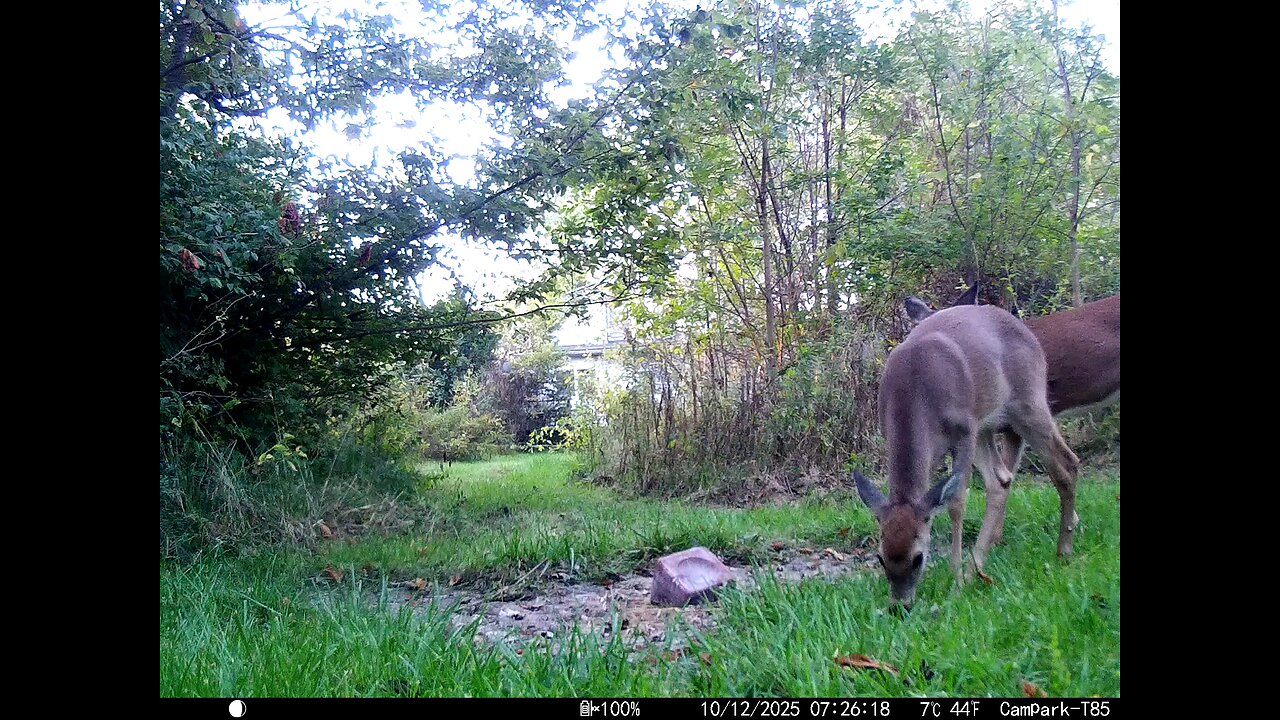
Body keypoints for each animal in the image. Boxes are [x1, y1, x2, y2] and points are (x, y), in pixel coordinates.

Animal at [854, 303, 1081, 608]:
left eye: (918, 559)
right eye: (881, 558)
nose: (900, 607)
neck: (915, 392)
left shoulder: (963, 431)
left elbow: (956, 503)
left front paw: (956, 582)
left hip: (1027, 404)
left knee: (1067, 464)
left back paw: (1063, 550)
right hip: (986, 424)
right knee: (1002, 479)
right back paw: (978, 568)